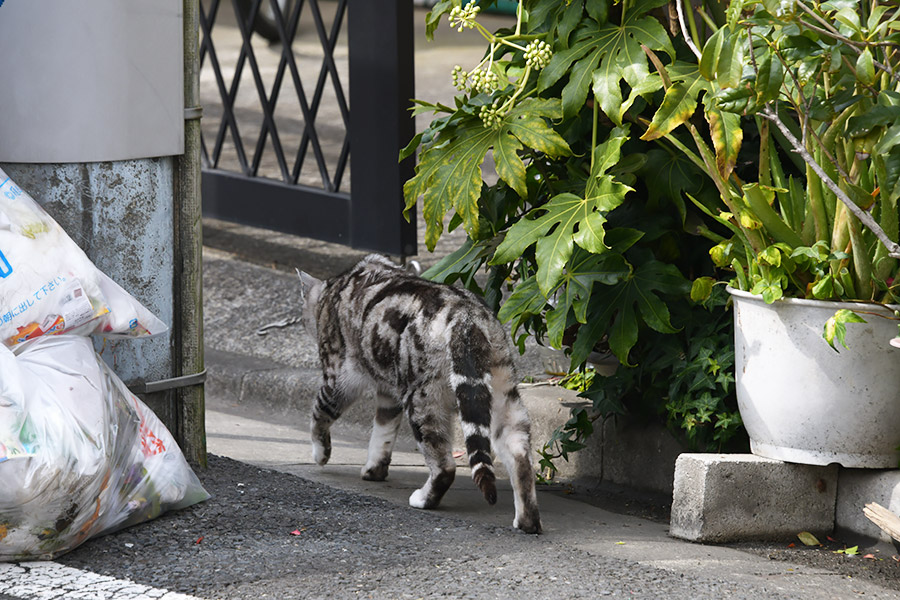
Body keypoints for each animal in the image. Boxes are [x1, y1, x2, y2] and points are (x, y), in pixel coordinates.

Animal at [300, 253, 540, 536]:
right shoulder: (388, 393)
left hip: (422, 400)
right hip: (502, 396)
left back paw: (423, 500)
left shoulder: (339, 379)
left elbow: (319, 415)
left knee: (445, 466)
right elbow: (382, 432)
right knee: (521, 459)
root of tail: (466, 315)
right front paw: (374, 469)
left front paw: (320, 454)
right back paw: (527, 522)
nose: (303, 322)